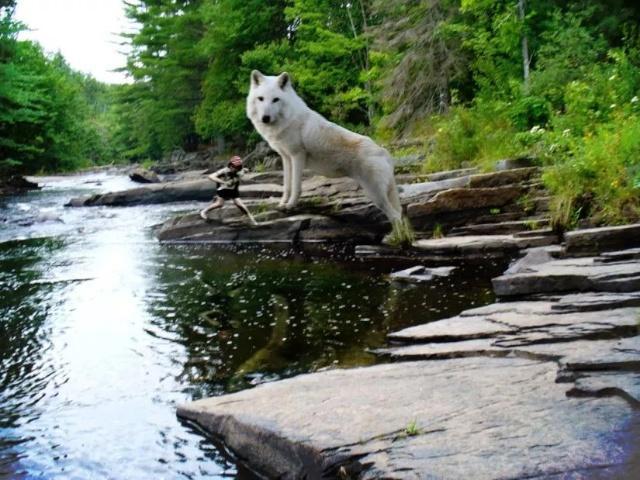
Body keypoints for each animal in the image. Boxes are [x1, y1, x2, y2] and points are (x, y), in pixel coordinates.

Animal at [245, 69, 410, 242]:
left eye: (275, 100)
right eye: (261, 99)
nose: (265, 118)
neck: (288, 119)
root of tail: (384, 152)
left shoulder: (297, 156)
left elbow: (296, 187)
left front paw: (290, 206)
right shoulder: (286, 157)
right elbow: (286, 186)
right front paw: (282, 204)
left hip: (376, 195)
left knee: (395, 216)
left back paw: (396, 240)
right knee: (398, 214)